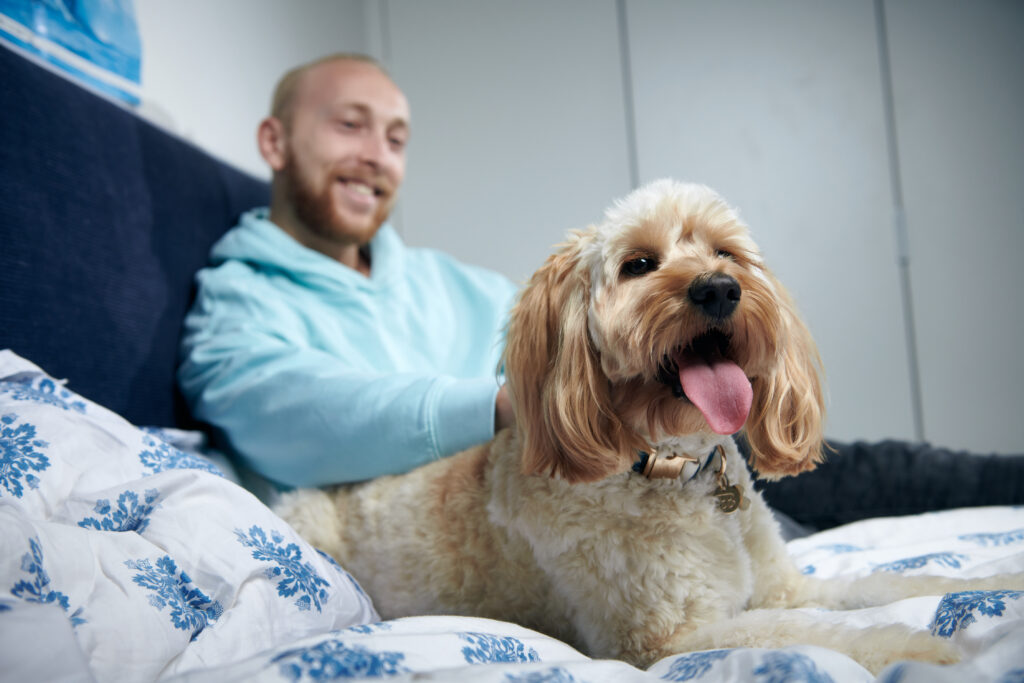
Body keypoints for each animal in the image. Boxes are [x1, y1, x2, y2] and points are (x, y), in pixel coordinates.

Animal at [274, 180, 1024, 671]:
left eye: (726, 254)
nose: (719, 289)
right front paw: (920, 649)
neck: (674, 468)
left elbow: (886, 585)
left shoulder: (788, 583)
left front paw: (997, 582)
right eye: (638, 264)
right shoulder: (668, 641)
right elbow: (815, 633)